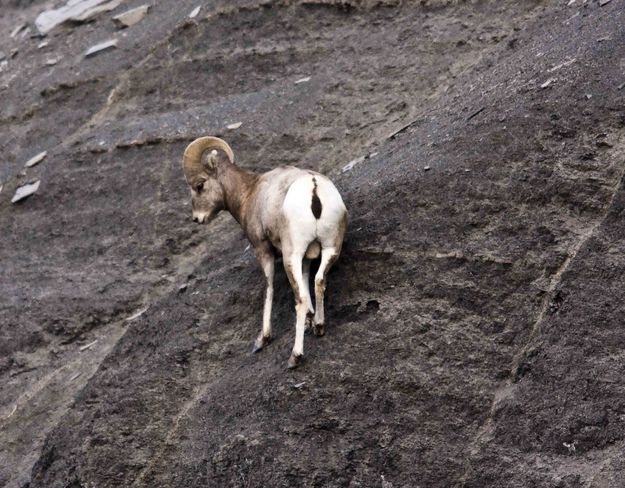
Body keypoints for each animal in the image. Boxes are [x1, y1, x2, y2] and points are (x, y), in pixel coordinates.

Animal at [182, 135, 346, 368]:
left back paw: (295, 357)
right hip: (331, 248)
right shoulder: (307, 256)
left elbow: (269, 288)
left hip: (291, 256)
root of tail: (313, 188)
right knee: (319, 281)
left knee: (300, 300)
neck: (249, 192)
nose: (197, 218)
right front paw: (310, 321)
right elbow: (306, 282)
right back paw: (320, 327)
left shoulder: (263, 250)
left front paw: (262, 339)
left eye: (200, 185)